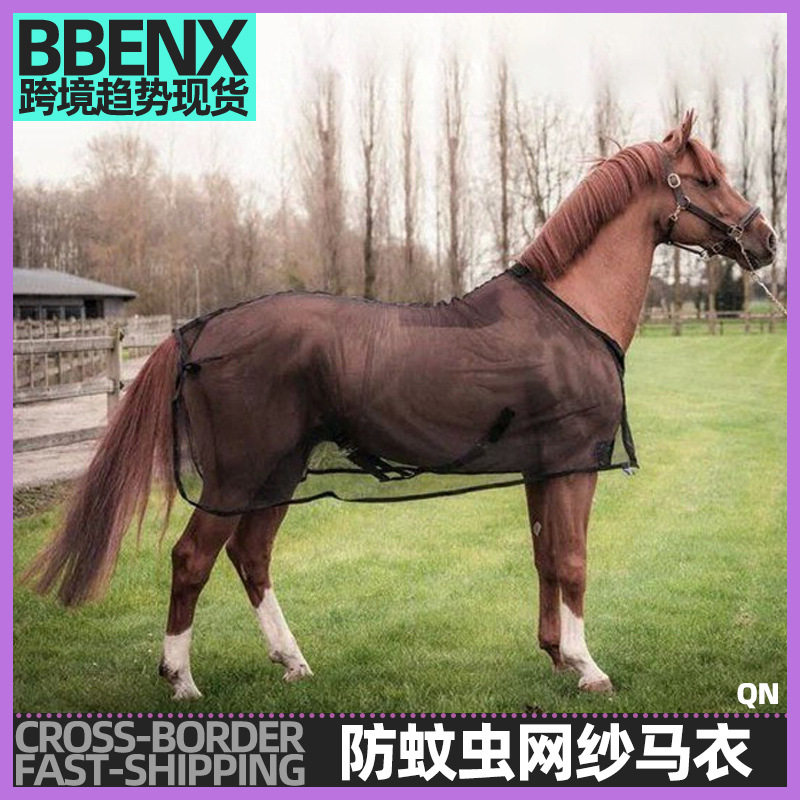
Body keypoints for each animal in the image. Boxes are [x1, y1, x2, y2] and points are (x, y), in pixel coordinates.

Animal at [25, 112, 776, 700]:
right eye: (707, 179)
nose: (765, 239)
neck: (570, 313)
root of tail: (201, 328)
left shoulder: (542, 470)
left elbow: (544, 558)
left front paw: (557, 656)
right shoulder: (573, 466)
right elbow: (572, 562)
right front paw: (589, 668)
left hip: (278, 473)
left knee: (251, 556)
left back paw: (293, 662)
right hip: (239, 475)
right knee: (192, 559)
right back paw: (181, 678)